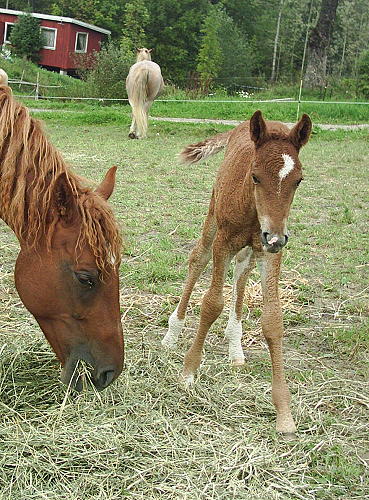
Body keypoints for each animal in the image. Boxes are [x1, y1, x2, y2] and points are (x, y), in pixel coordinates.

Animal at [162, 111, 312, 436]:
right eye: (255, 176)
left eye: (298, 180)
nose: (276, 237)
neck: (252, 209)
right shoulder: (224, 242)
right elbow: (211, 304)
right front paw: (188, 373)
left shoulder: (271, 253)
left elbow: (273, 320)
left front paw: (284, 412)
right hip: (213, 219)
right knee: (198, 258)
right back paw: (172, 333)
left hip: (253, 250)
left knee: (242, 269)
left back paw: (235, 348)